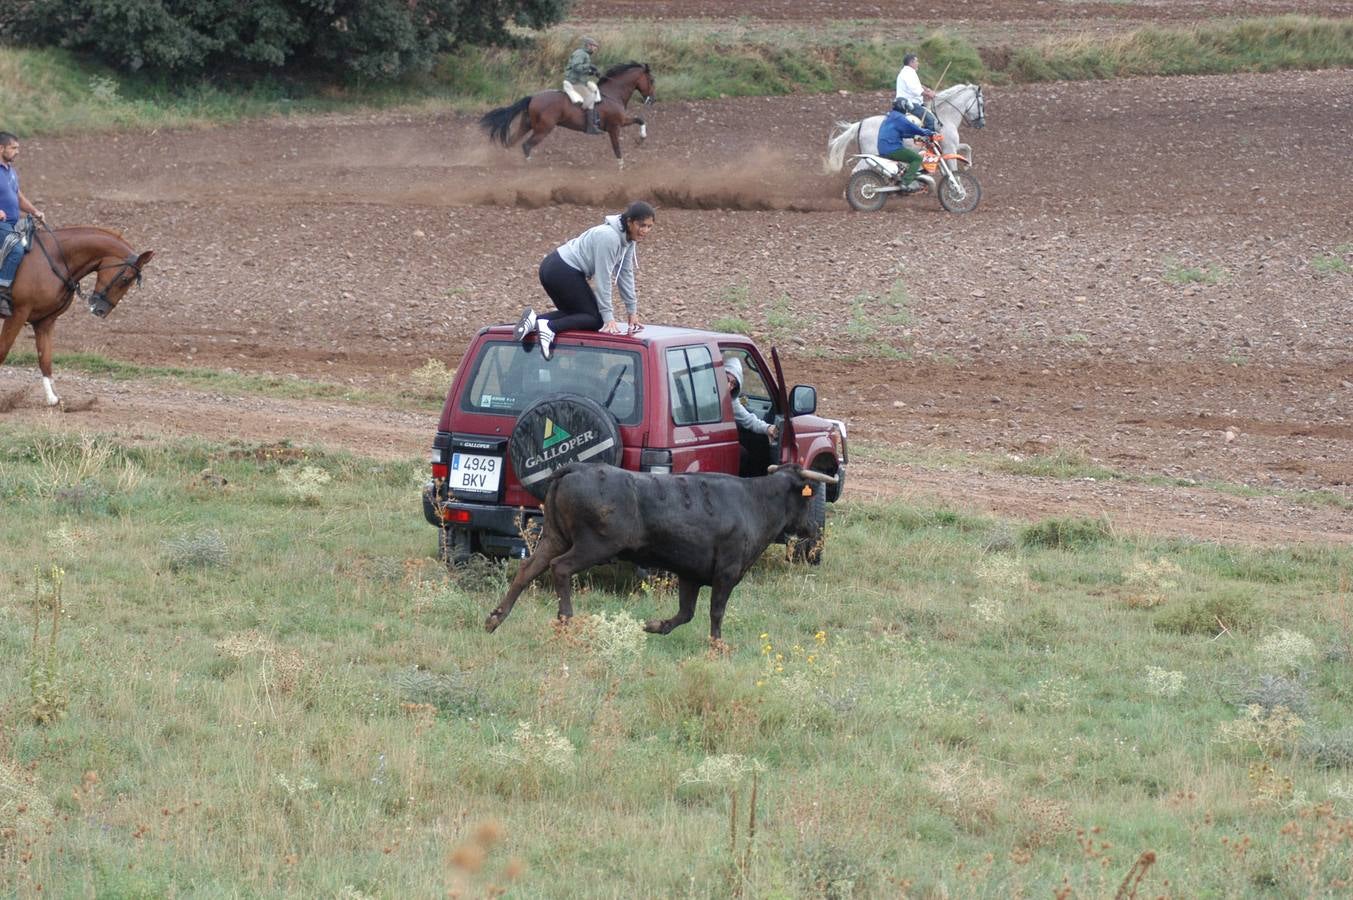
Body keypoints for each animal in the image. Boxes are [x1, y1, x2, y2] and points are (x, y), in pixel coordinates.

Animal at [0, 223, 154, 406]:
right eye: (125, 278)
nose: (101, 310)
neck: (53, 261)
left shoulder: (45, 321)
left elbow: (45, 358)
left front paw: (52, 398)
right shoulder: (17, 314)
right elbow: (3, 350)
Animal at [484, 61, 657, 166]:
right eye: (652, 80)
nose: (652, 100)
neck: (613, 93)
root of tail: (533, 97)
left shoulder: (621, 122)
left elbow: (640, 119)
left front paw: (641, 139)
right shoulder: (615, 126)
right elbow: (617, 148)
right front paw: (621, 166)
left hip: (526, 125)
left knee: (511, 142)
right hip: (544, 129)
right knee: (526, 145)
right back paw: (529, 164)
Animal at [487, 462, 838, 638]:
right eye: (806, 498)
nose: (814, 530)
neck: (753, 502)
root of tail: (573, 469)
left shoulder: (690, 575)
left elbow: (686, 613)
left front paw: (654, 626)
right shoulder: (727, 572)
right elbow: (716, 611)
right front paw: (717, 645)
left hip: (555, 536)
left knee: (528, 569)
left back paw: (495, 618)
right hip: (593, 545)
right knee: (560, 568)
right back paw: (565, 620)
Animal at [822, 84, 984, 175]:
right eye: (981, 103)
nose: (982, 124)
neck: (945, 118)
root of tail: (862, 123)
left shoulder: (949, 148)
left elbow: (967, 147)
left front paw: (968, 165)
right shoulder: (950, 148)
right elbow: (955, 167)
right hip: (870, 155)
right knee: (856, 171)